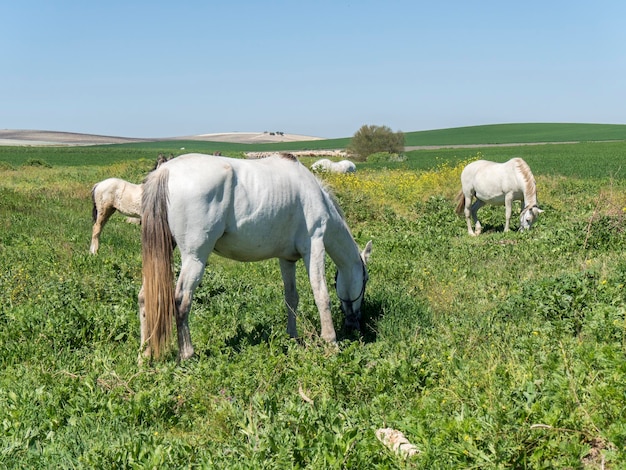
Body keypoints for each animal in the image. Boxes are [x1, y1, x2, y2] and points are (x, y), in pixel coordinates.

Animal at [138, 152, 370, 362]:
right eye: (366, 279)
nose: (355, 324)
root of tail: (166, 170)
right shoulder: (314, 245)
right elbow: (321, 294)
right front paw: (331, 343)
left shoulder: (287, 259)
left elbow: (291, 298)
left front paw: (292, 337)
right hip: (195, 257)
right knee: (181, 301)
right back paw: (187, 354)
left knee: (144, 297)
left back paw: (145, 355)